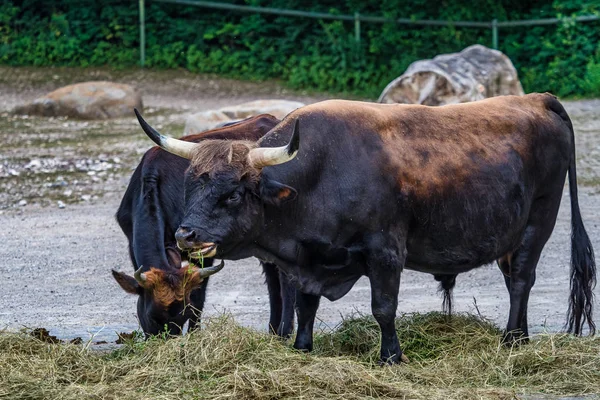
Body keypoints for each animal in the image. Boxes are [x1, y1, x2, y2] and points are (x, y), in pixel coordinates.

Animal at [112, 115, 296, 338]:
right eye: (152, 317)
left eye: (181, 317)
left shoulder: (202, 250)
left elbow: (198, 300)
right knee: (273, 280)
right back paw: (273, 331)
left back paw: (283, 333)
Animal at [135, 93, 596, 362]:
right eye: (191, 184)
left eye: (232, 194)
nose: (185, 235)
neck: (321, 174)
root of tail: (537, 98)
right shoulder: (306, 260)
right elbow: (305, 306)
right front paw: (303, 347)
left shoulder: (385, 251)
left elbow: (383, 307)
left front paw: (390, 356)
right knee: (512, 275)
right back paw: (520, 337)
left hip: (539, 220)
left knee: (521, 279)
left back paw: (511, 341)